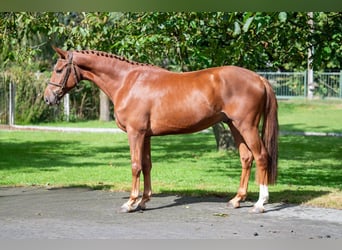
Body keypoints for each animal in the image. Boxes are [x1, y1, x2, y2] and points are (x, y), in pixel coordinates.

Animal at [43, 47, 278, 213]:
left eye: (58, 70)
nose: (48, 98)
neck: (127, 82)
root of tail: (258, 78)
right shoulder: (146, 135)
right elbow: (147, 165)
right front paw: (143, 201)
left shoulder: (135, 133)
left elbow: (135, 165)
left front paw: (130, 203)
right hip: (234, 126)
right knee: (246, 158)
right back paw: (237, 200)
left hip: (247, 126)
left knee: (261, 156)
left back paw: (260, 203)